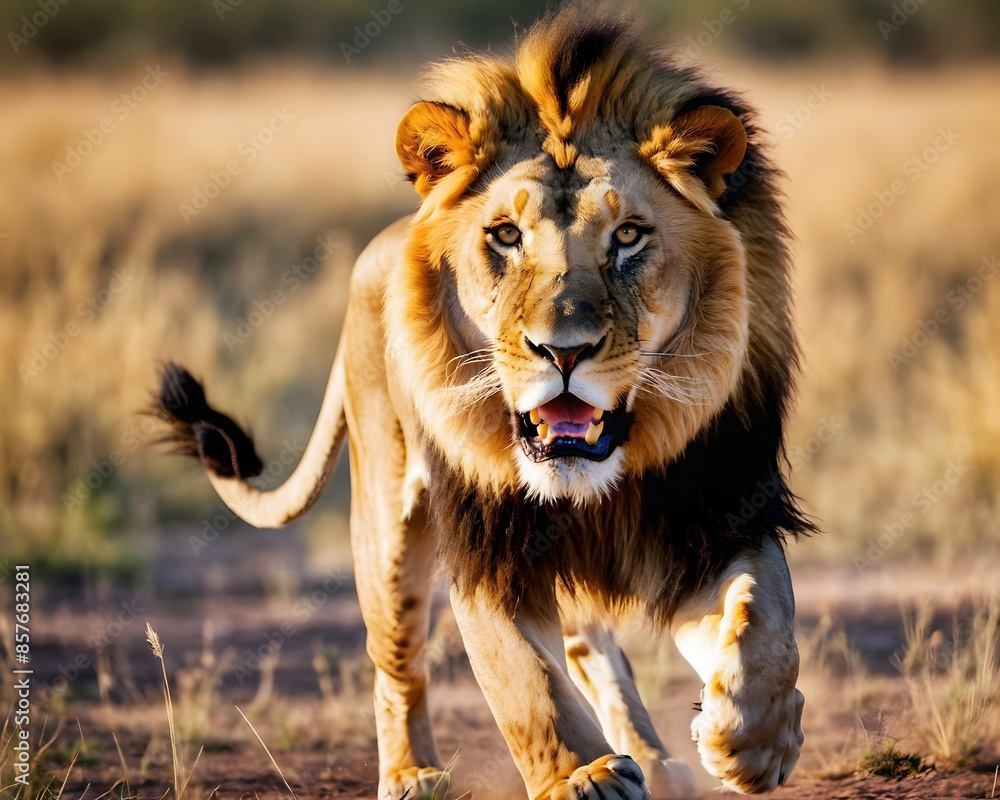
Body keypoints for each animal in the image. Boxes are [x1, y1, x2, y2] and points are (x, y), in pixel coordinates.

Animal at [156, 8, 811, 799]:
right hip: (387, 533)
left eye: (628, 236)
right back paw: (412, 772)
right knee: (395, 662)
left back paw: (655, 760)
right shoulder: (489, 550)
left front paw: (755, 740)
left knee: (589, 645)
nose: (564, 351)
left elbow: (765, 617)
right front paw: (580, 775)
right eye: (505, 235)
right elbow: (523, 682)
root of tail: (384, 239)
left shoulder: (714, 517)